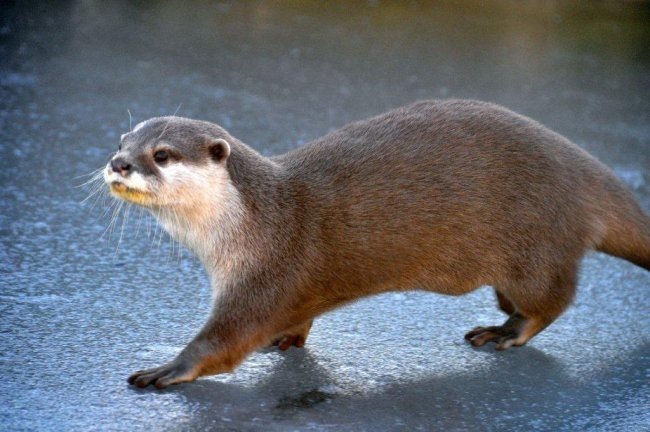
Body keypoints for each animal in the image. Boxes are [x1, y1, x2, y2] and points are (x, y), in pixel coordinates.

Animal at [102, 100, 650, 389]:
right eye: (123, 140)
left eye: (162, 154)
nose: (119, 163)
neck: (256, 220)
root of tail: (583, 169)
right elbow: (295, 318)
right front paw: (287, 339)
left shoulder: (270, 272)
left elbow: (226, 339)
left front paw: (170, 368)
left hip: (537, 240)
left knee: (551, 299)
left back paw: (505, 332)